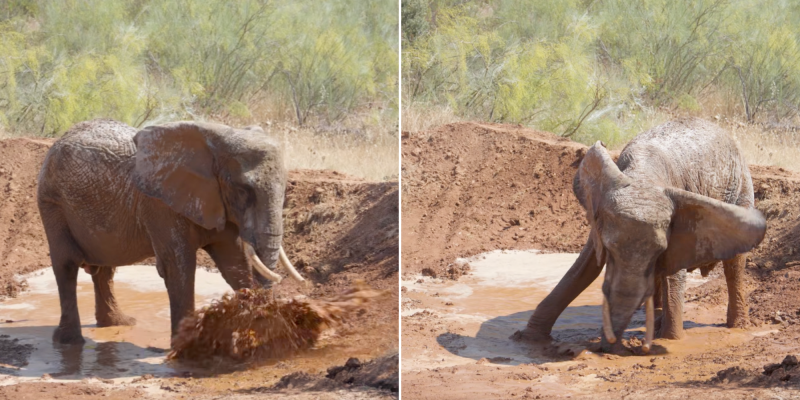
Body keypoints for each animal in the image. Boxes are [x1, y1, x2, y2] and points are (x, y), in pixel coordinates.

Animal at [37, 119, 306, 345]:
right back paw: (70, 342)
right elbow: (178, 267)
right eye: (242, 190)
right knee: (67, 265)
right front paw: (184, 350)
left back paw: (118, 323)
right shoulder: (161, 206)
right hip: (52, 203)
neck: (216, 137)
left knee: (104, 269)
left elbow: (233, 261)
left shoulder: (217, 201)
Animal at [513, 118, 766, 352]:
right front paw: (527, 340)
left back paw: (737, 326)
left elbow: (674, 274)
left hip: (742, 188)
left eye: (659, 250)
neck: (643, 177)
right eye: (610, 250)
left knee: (734, 265)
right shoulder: (601, 218)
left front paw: (671, 341)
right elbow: (584, 268)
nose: (611, 348)